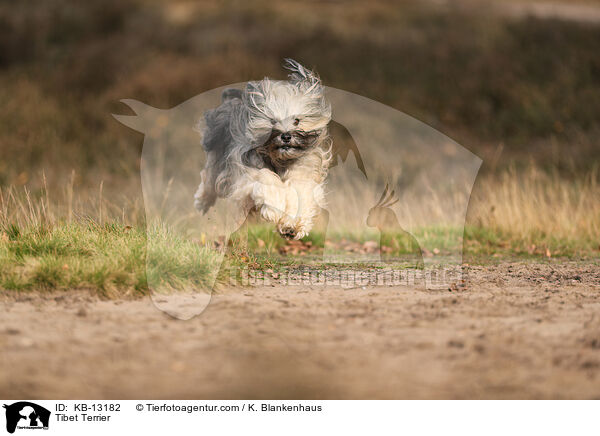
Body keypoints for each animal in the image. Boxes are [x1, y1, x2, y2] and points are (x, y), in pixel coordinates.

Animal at [193, 59, 330, 240]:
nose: (286, 136)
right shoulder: (246, 170)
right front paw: (274, 208)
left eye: (297, 121)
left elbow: (300, 192)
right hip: (216, 153)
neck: (279, 159)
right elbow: (267, 180)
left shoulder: (304, 173)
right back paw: (201, 202)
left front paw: (291, 225)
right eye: (272, 121)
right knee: (208, 180)